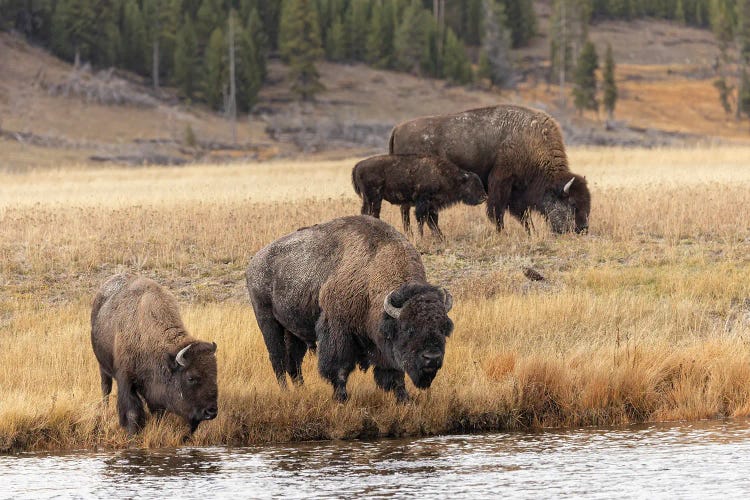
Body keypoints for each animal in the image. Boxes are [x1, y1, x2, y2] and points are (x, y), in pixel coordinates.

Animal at [91, 274, 219, 434]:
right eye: (190, 378)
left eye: (215, 374)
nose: (211, 411)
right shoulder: (126, 379)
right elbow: (131, 412)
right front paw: (132, 433)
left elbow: (158, 411)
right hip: (102, 366)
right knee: (105, 389)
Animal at [250, 215, 456, 402]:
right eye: (408, 329)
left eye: (443, 329)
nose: (432, 358)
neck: (371, 276)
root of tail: (255, 261)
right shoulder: (338, 331)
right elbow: (340, 369)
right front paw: (342, 398)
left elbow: (394, 372)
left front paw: (404, 399)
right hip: (267, 320)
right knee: (277, 358)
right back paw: (285, 391)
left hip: (293, 330)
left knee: (294, 361)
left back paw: (301, 389)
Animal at [352, 153, 488, 239]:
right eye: (472, 184)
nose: (484, 197)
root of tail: (358, 165)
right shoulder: (423, 202)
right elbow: (421, 219)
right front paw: (421, 237)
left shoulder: (432, 206)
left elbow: (433, 221)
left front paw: (441, 237)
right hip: (375, 198)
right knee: (374, 213)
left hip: (368, 199)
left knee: (366, 212)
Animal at [388, 104, 592, 233]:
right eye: (573, 204)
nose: (582, 229)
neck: (529, 141)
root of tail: (397, 129)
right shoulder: (501, 182)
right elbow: (497, 211)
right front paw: (502, 233)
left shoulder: (517, 191)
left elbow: (522, 215)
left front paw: (531, 232)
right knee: (411, 211)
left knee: (415, 212)